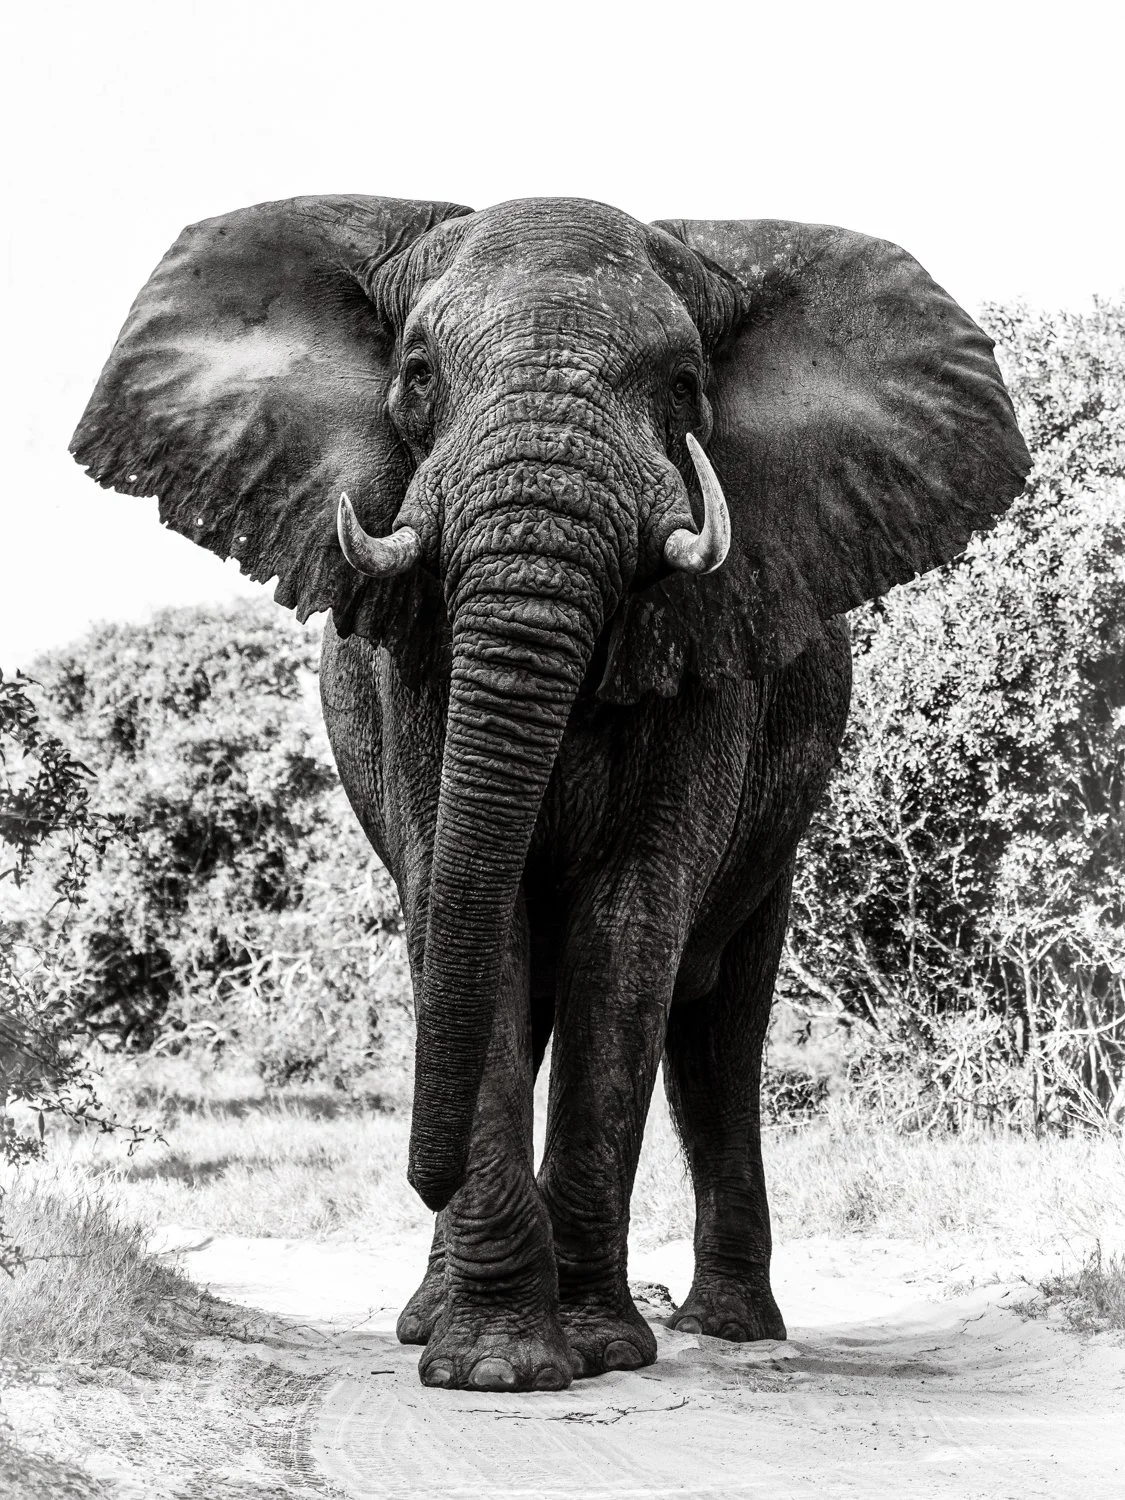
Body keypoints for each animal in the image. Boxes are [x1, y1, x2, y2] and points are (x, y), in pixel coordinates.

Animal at [71, 195, 1030, 1393]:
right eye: (417, 372)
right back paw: (431, 1316)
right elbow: (469, 919)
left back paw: (728, 1326)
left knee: (718, 1035)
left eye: (683, 384)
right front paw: (491, 1365)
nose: (419, 1175)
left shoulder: (711, 651)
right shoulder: (412, 663)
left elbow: (627, 935)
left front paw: (594, 1349)